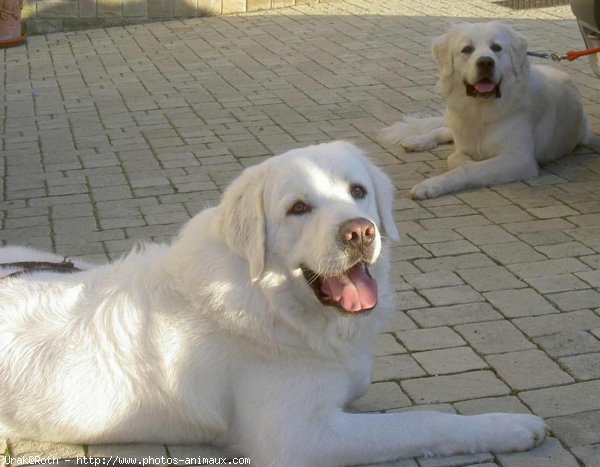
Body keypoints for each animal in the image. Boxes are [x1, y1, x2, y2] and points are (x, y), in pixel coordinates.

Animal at [0, 143, 548, 467]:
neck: (274, 303)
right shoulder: (302, 436)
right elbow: (422, 421)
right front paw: (508, 426)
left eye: (358, 191)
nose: (360, 232)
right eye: (298, 208)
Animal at [382, 21, 588, 200]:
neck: (481, 112)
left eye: (496, 47)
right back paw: (417, 141)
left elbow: (466, 168)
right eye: (467, 49)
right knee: (444, 130)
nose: (485, 62)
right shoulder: (465, 144)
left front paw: (431, 185)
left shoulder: (519, 159)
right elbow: (454, 158)